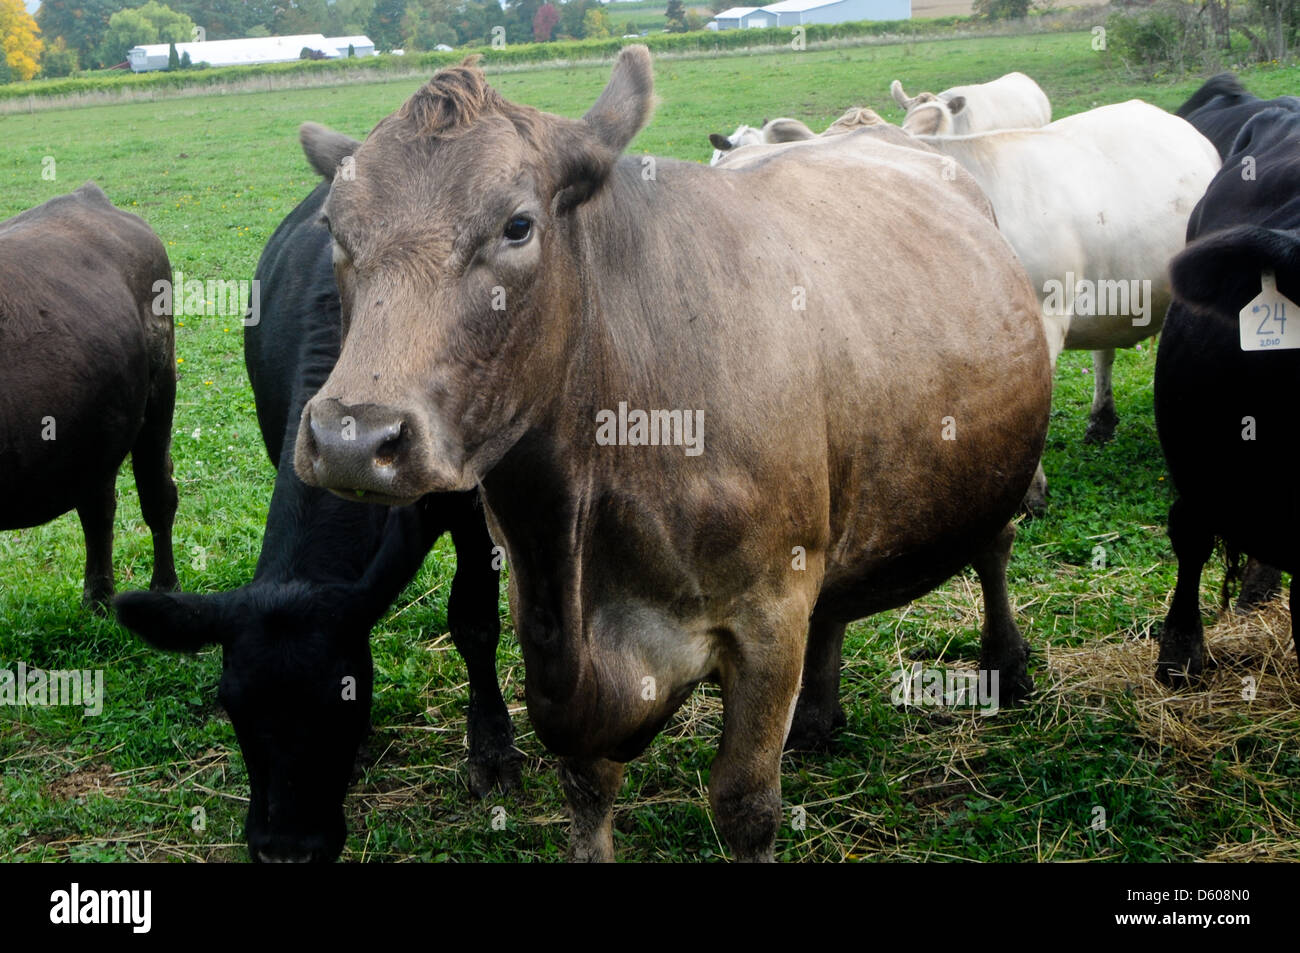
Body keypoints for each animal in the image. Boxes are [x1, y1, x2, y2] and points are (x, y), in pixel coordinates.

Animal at [0, 183, 177, 610]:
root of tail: (87, 195)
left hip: (159, 394)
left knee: (157, 496)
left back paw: (164, 588)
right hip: (97, 428)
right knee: (98, 508)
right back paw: (98, 598)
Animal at [113, 126, 520, 863]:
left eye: (346, 698)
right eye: (233, 703)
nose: (286, 849)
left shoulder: (468, 496)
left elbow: (474, 619)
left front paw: (493, 748)